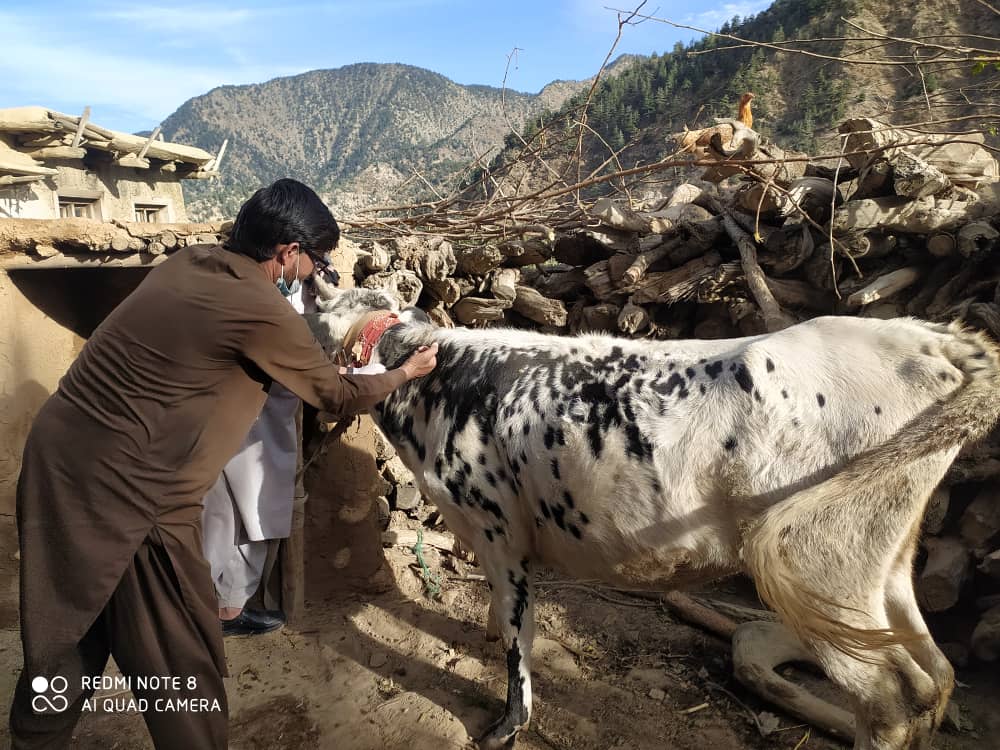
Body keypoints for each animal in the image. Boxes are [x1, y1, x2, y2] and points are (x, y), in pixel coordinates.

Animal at [304, 284, 1000, 750]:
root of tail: (926, 336)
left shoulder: (497, 528)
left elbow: (516, 634)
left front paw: (506, 726)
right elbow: (504, 624)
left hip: (823, 560)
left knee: (888, 698)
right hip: (880, 555)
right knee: (932, 676)